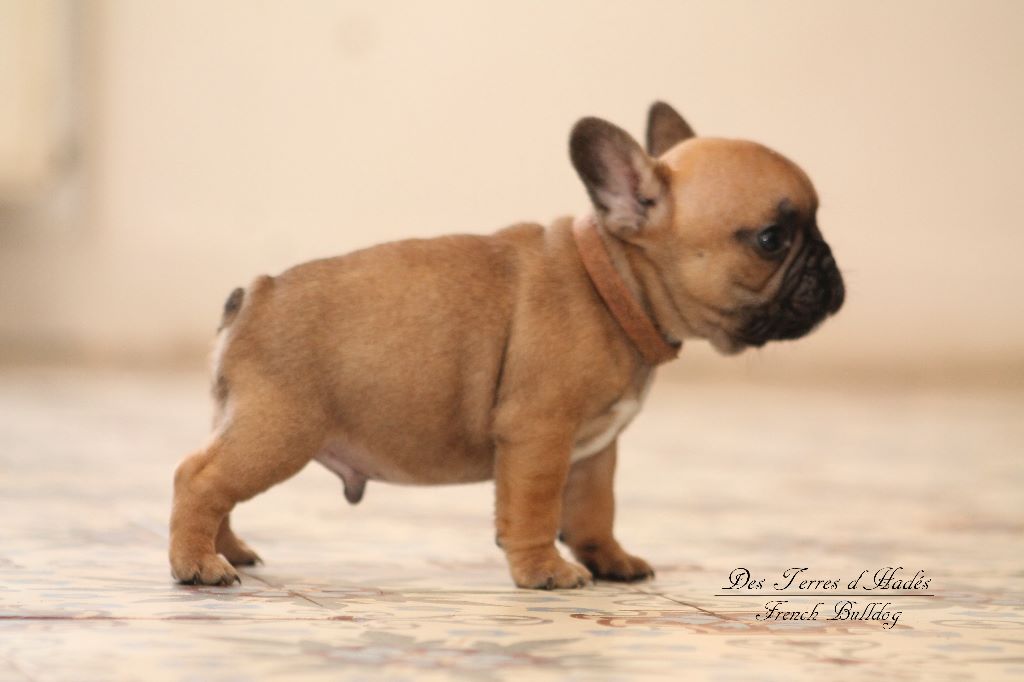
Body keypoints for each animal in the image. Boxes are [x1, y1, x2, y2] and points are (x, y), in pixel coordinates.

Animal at [169, 101, 844, 589]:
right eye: (771, 239)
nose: (832, 270)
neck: (613, 283)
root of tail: (253, 294)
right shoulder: (539, 434)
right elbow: (536, 506)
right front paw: (544, 571)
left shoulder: (595, 449)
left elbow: (594, 508)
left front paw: (609, 560)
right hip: (281, 430)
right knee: (199, 478)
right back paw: (197, 565)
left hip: (246, 423)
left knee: (216, 482)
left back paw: (226, 549)